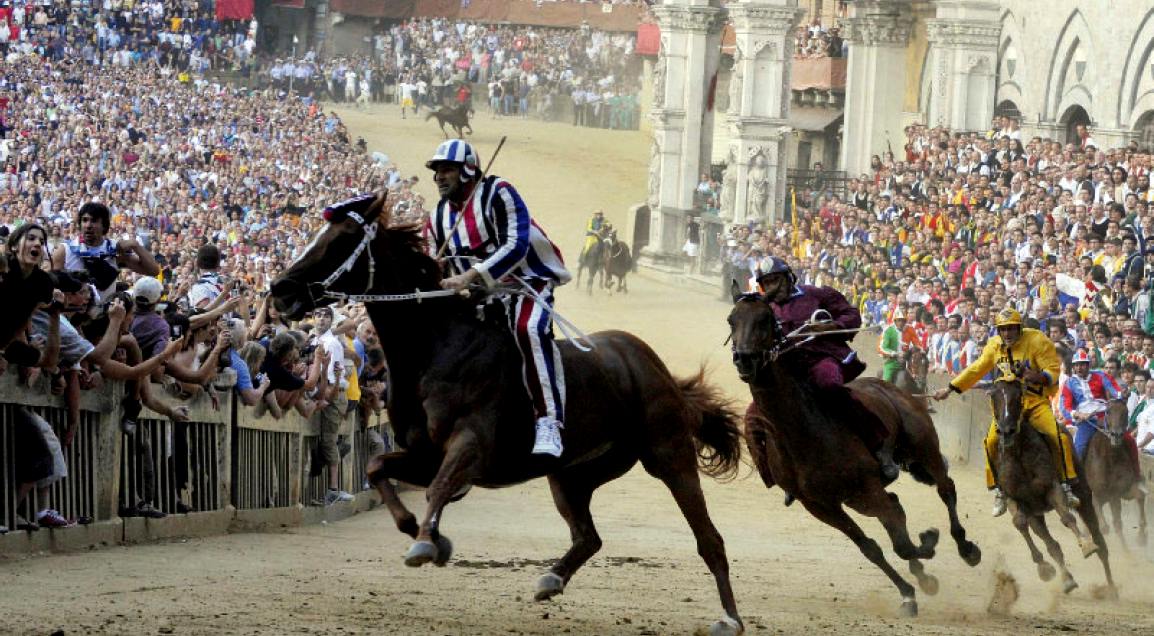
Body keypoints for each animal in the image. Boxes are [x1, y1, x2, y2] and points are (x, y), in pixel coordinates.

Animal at [274, 198, 752, 636]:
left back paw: (730, 617)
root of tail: (653, 365)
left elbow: (440, 486)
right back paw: (551, 579)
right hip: (573, 473)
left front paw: (427, 544)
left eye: (342, 240)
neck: (438, 349)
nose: (280, 289)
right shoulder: (423, 454)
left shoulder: (470, 444)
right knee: (588, 536)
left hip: (669, 455)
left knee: (708, 538)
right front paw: (423, 533)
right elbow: (377, 467)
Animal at [724, 288, 978, 618]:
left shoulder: (866, 486)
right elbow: (871, 546)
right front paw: (909, 592)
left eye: (765, 319)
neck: (802, 429)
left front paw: (929, 543)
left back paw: (967, 548)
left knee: (945, 489)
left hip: (921, 450)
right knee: (897, 507)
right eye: (732, 319)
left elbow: (901, 543)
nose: (744, 359)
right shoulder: (821, 505)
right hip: (858, 498)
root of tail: (897, 389)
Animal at [987, 373, 1112, 595]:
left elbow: (1067, 518)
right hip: (1036, 512)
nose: (1006, 431)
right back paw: (1067, 580)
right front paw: (1044, 568)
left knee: (1099, 539)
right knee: (1048, 541)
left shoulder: (1052, 487)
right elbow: (1020, 523)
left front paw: (1086, 545)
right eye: (994, 396)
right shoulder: (1016, 499)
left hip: (1084, 495)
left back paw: (1111, 588)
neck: (1018, 454)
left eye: (1018, 395)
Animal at [1080, 401, 1144, 549]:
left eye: (1125, 412)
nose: (1116, 435)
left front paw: (1134, 544)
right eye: (1108, 411)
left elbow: (1118, 523)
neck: (1110, 459)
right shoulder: (1097, 494)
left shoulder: (1118, 493)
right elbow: (1104, 526)